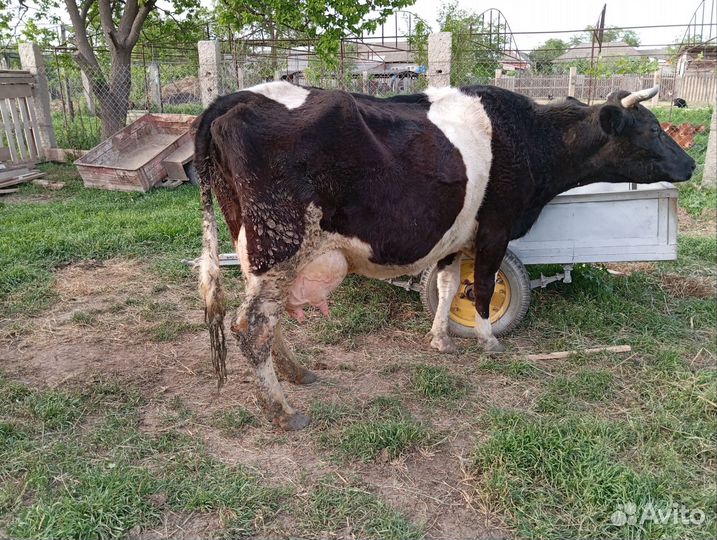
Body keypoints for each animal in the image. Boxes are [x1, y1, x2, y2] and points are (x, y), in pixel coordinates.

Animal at [194, 82, 695, 430]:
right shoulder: (496, 227)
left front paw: (441, 338)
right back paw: (282, 410)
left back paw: (297, 373)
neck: (529, 136)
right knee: (252, 324)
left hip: (257, 250)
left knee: (265, 318)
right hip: (281, 243)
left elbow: (449, 283)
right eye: (653, 129)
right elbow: (485, 285)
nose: (690, 164)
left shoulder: (455, 237)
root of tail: (236, 97)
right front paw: (488, 339)